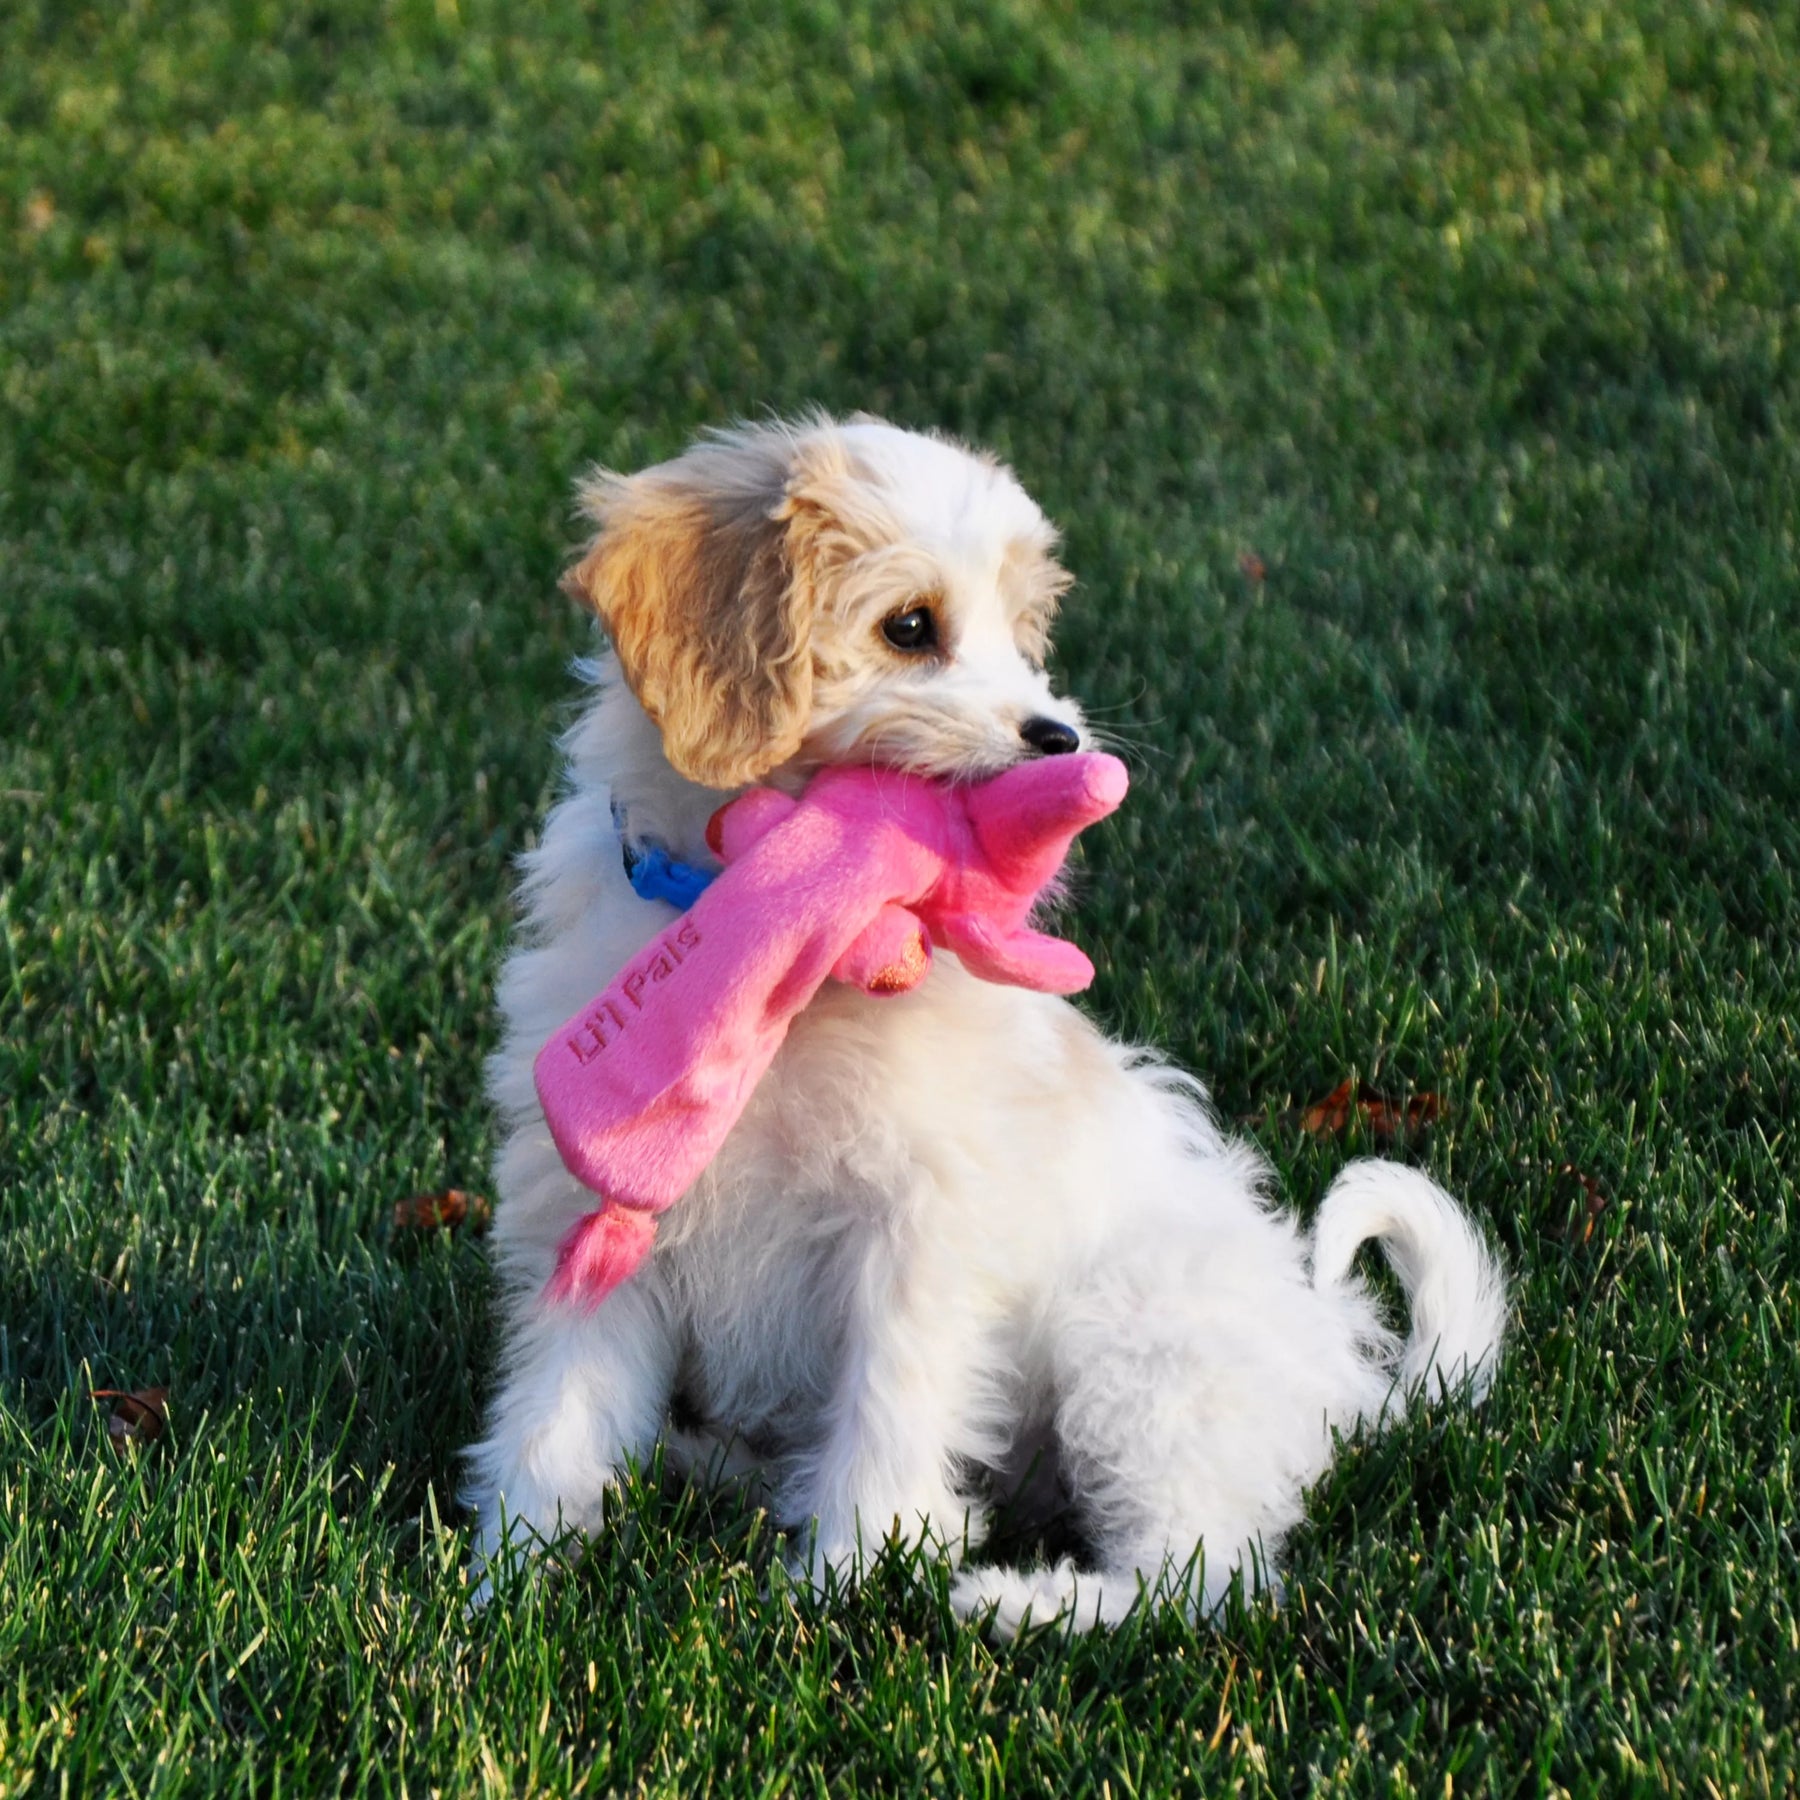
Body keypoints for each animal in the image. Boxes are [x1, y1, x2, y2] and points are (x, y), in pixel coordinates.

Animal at [468, 414, 1504, 1641]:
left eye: (1022, 634)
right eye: (910, 628)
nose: (1059, 737)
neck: (796, 961)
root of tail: (1337, 1373)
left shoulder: (917, 1227)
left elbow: (890, 1402)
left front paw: (841, 1581)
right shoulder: (595, 1209)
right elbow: (560, 1410)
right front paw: (506, 1581)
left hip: (1136, 1343)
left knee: (1198, 1571)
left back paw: (1020, 1601)